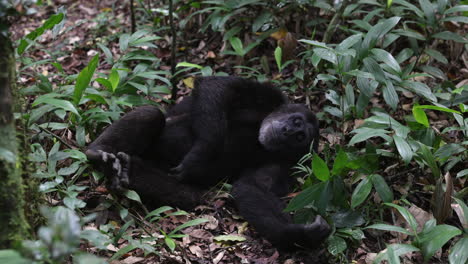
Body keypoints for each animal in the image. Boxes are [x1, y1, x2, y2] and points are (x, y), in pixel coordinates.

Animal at [86, 76, 330, 248]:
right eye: (296, 121)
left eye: (300, 137)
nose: (288, 131)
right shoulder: (271, 95)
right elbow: (219, 87)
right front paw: (198, 157)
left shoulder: (282, 166)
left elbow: (252, 188)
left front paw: (302, 235)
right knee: (151, 113)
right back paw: (99, 153)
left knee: (189, 196)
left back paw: (128, 171)